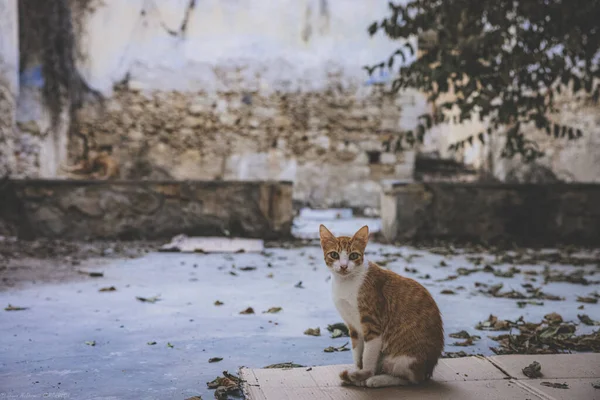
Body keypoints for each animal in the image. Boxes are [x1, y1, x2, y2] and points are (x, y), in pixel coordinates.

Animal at [322, 225, 442, 388]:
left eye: (353, 256)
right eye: (334, 255)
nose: (343, 266)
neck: (345, 283)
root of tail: (428, 370)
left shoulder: (373, 327)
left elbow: (367, 358)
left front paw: (362, 375)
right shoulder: (353, 328)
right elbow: (357, 354)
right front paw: (357, 373)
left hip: (404, 359)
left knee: (411, 379)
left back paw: (376, 379)